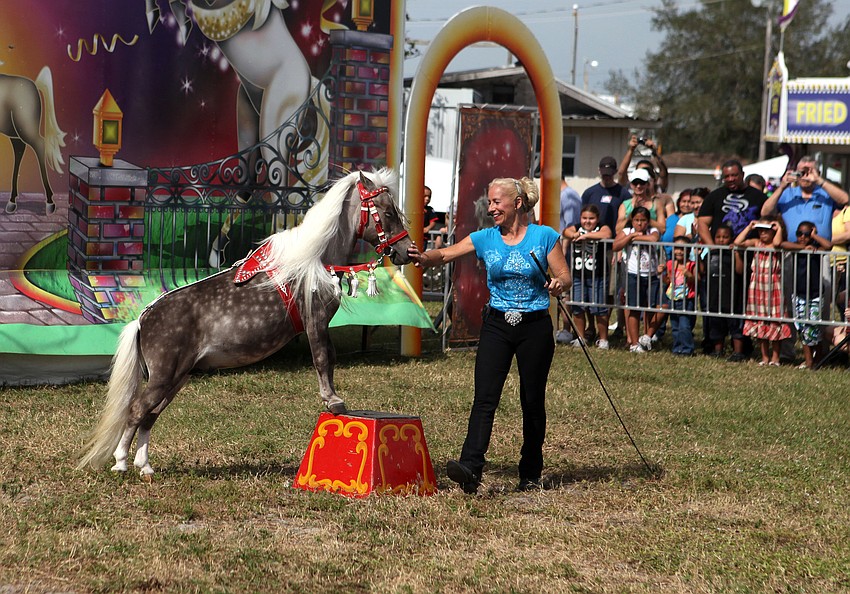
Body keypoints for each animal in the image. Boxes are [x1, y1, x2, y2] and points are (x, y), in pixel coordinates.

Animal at [1, 66, 66, 215]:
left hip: (25, 127)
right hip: (15, 132)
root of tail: (35, 85)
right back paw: (12, 202)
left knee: (39, 146)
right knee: (19, 151)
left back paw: (50, 203)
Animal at [77, 169, 413, 477]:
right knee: (137, 410)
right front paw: (334, 402)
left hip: (177, 377)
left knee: (150, 415)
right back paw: (121, 462)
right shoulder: (315, 320)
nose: (406, 251)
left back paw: (144, 466)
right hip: (163, 377)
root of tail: (143, 318)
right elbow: (323, 359)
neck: (312, 260)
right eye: (387, 212)